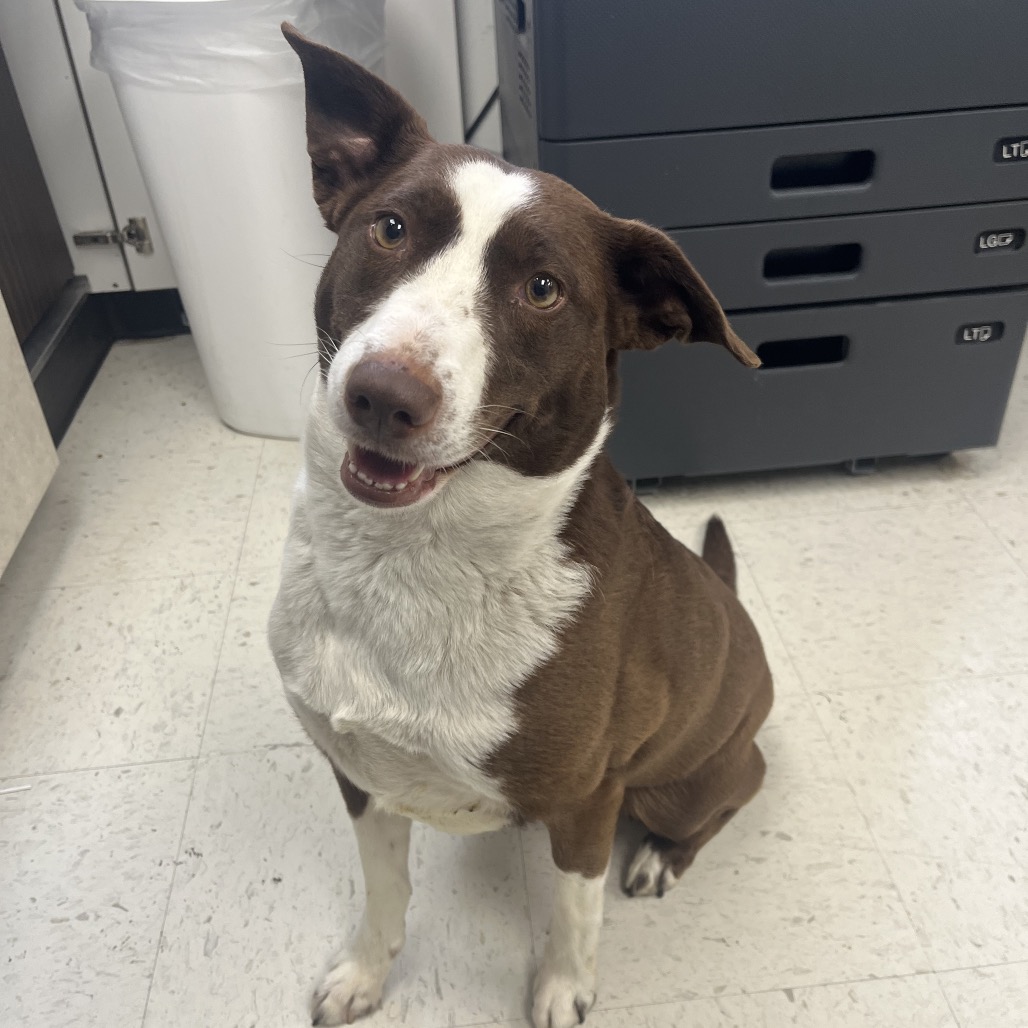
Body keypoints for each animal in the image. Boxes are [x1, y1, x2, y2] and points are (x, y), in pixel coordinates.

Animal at [269, 25, 773, 1028]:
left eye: (543, 288)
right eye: (390, 228)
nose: (383, 396)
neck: (411, 563)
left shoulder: (588, 801)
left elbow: (577, 913)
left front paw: (563, 989)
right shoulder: (360, 776)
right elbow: (384, 891)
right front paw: (366, 971)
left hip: (687, 778)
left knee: (736, 790)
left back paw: (662, 857)